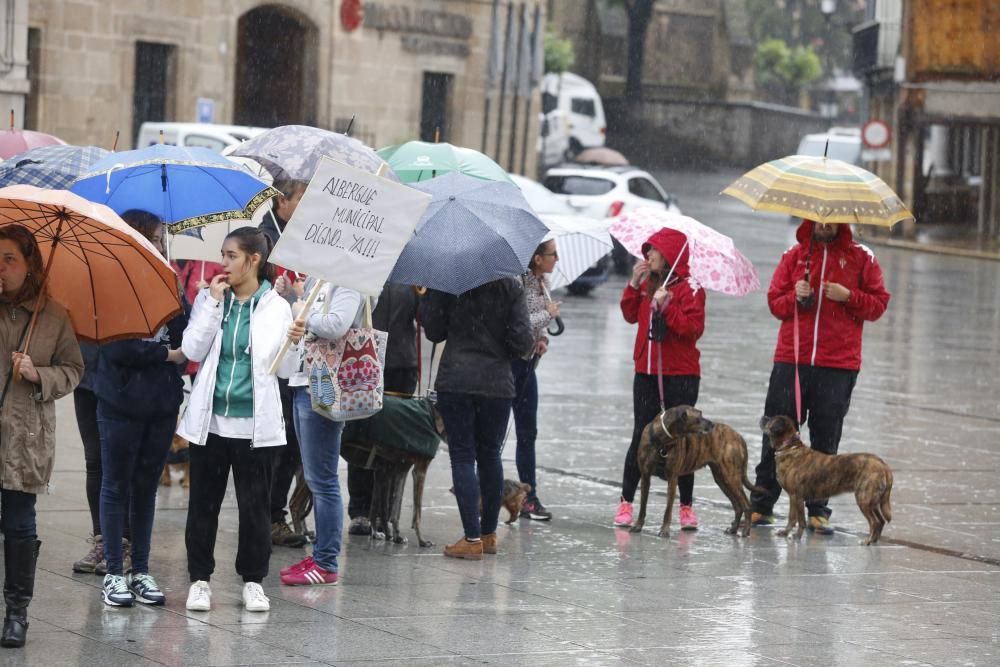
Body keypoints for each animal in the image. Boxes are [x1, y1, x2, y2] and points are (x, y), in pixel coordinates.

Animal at [636, 404, 752, 540]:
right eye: (699, 417)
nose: (712, 424)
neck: (662, 440)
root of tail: (738, 436)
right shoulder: (645, 477)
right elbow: (642, 506)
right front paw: (637, 526)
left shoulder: (672, 479)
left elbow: (667, 510)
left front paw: (664, 530)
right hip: (722, 478)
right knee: (738, 506)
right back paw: (734, 529)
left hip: (730, 477)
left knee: (746, 505)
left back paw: (745, 532)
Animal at [760, 414, 896, 544]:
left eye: (771, 420)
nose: (763, 417)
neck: (789, 446)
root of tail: (884, 466)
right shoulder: (793, 498)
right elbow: (792, 518)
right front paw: (785, 532)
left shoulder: (796, 496)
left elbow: (800, 520)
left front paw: (797, 536)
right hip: (874, 501)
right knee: (881, 521)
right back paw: (874, 540)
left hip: (864, 500)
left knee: (874, 522)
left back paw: (868, 541)